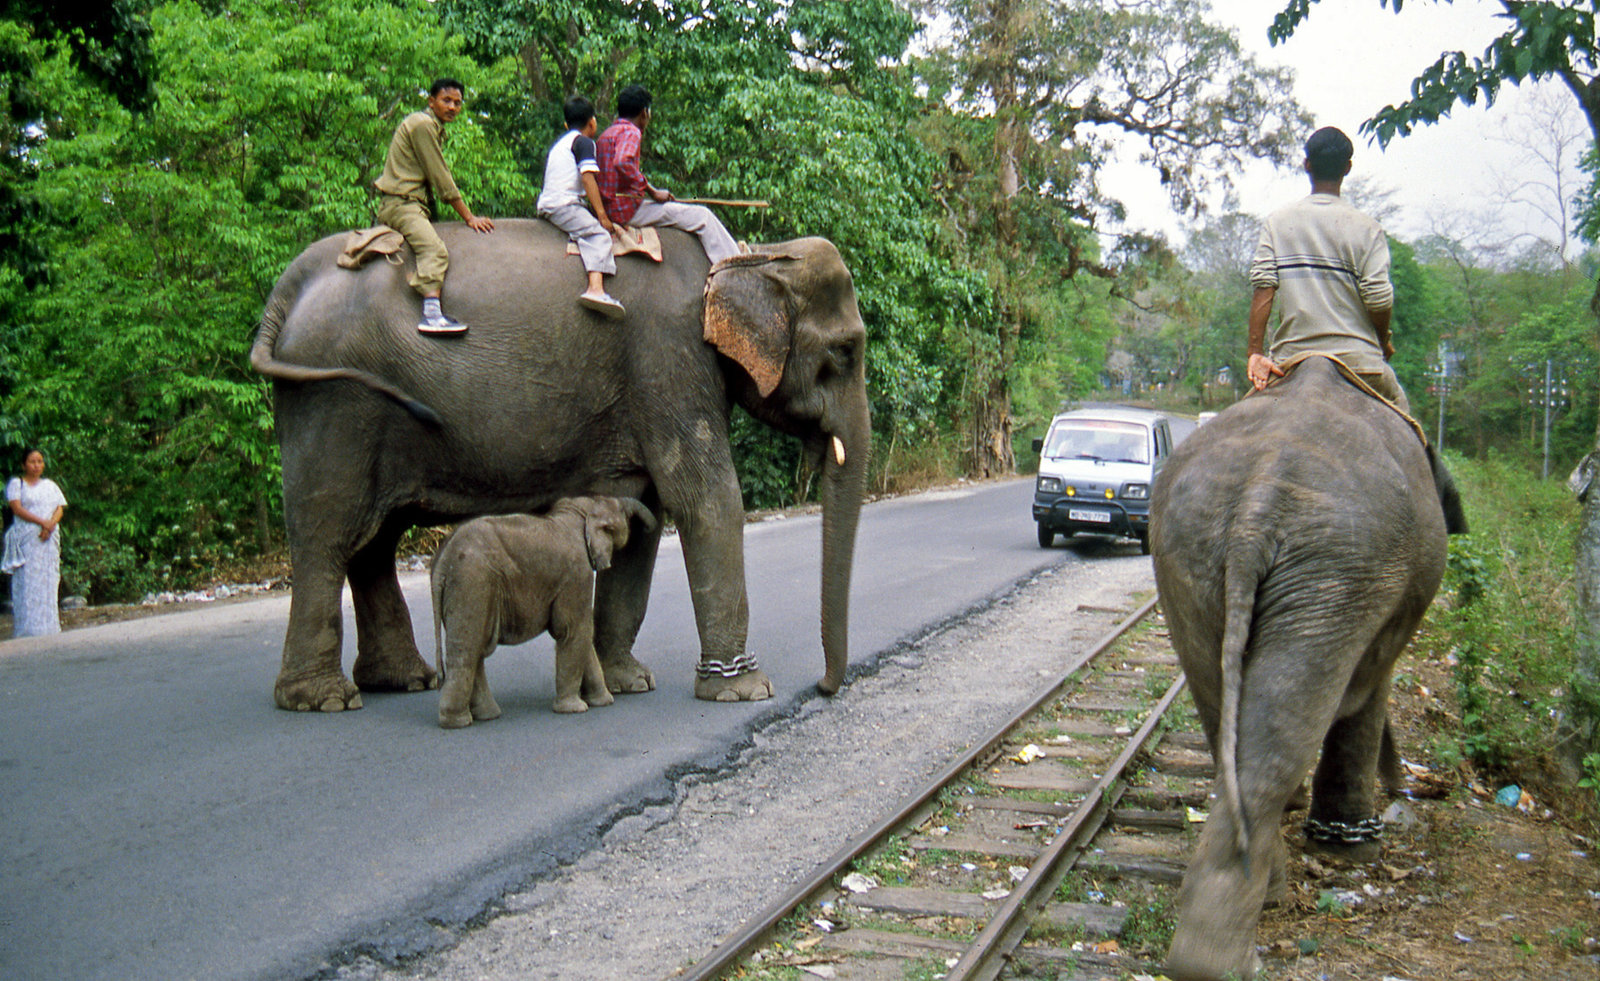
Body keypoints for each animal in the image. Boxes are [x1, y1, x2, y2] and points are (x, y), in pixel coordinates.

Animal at [431, 496, 654, 725]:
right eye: (622, 510)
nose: (651, 527)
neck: (577, 512)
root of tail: (440, 563)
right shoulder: (577, 572)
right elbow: (573, 630)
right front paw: (575, 709)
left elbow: (582, 635)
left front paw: (603, 702)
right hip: (471, 581)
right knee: (466, 650)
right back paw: (457, 722)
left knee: (475, 647)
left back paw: (487, 715)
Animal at [1148, 356, 1466, 981]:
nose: (1416, 787)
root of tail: (1259, 501)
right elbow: (1368, 691)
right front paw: (1351, 849)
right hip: (1340, 572)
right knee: (1287, 731)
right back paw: (1226, 954)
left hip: (1192, 552)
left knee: (1226, 710)